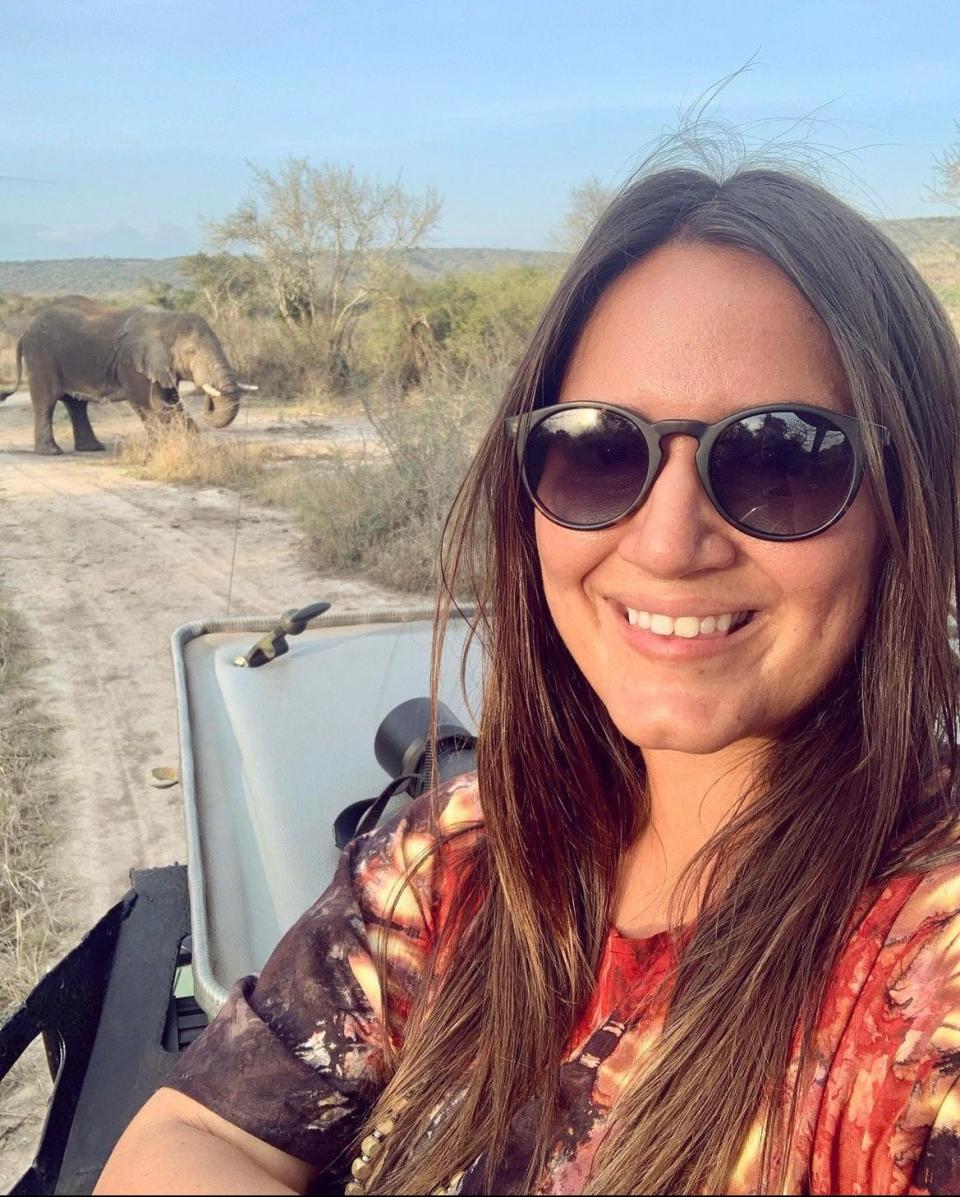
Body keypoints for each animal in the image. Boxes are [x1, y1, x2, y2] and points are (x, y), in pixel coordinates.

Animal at [0, 296, 253, 454]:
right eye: (191, 352)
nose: (209, 400)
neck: (167, 320)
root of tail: (25, 331)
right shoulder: (132, 364)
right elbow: (150, 403)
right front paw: (161, 449)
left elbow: (173, 403)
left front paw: (192, 446)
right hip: (41, 354)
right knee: (46, 400)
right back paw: (52, 452)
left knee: (76, 404)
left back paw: (93, 448)